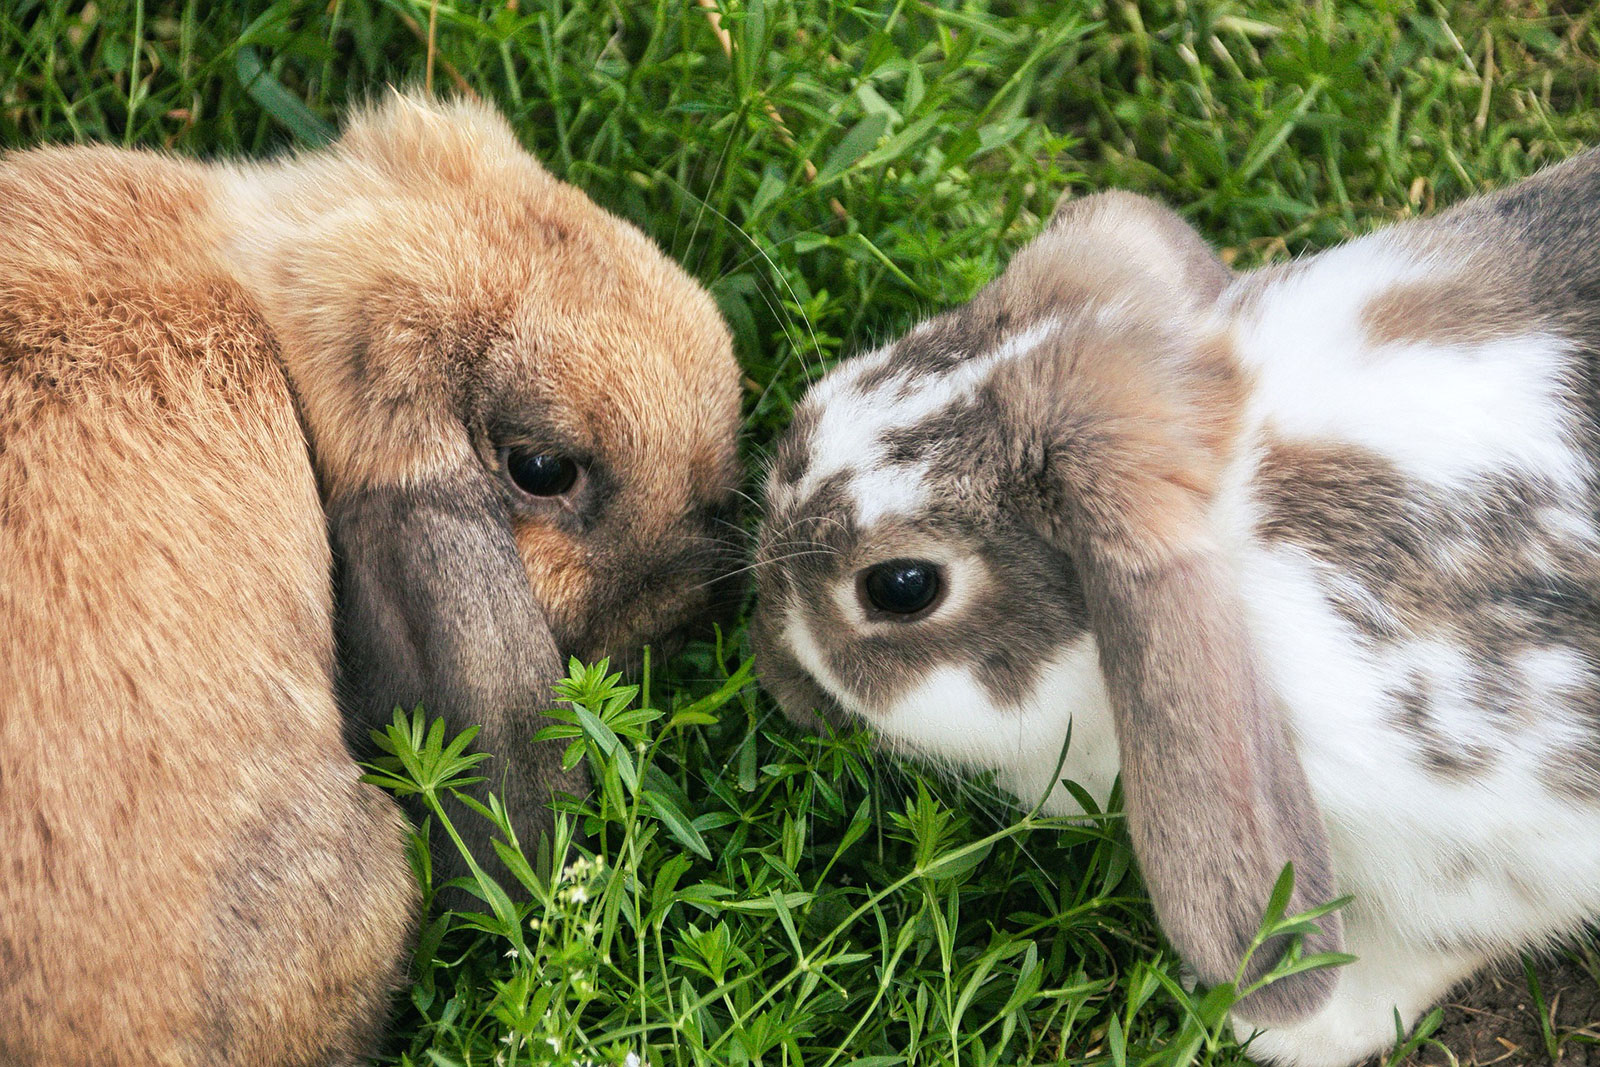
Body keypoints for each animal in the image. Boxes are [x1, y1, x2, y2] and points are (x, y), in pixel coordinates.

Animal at [755, 151, 1600, 1067]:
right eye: (815, 403)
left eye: (900, 586)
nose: (777, 683)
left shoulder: (1495, 844)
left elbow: (1420, 949)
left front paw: (1288, 1027)